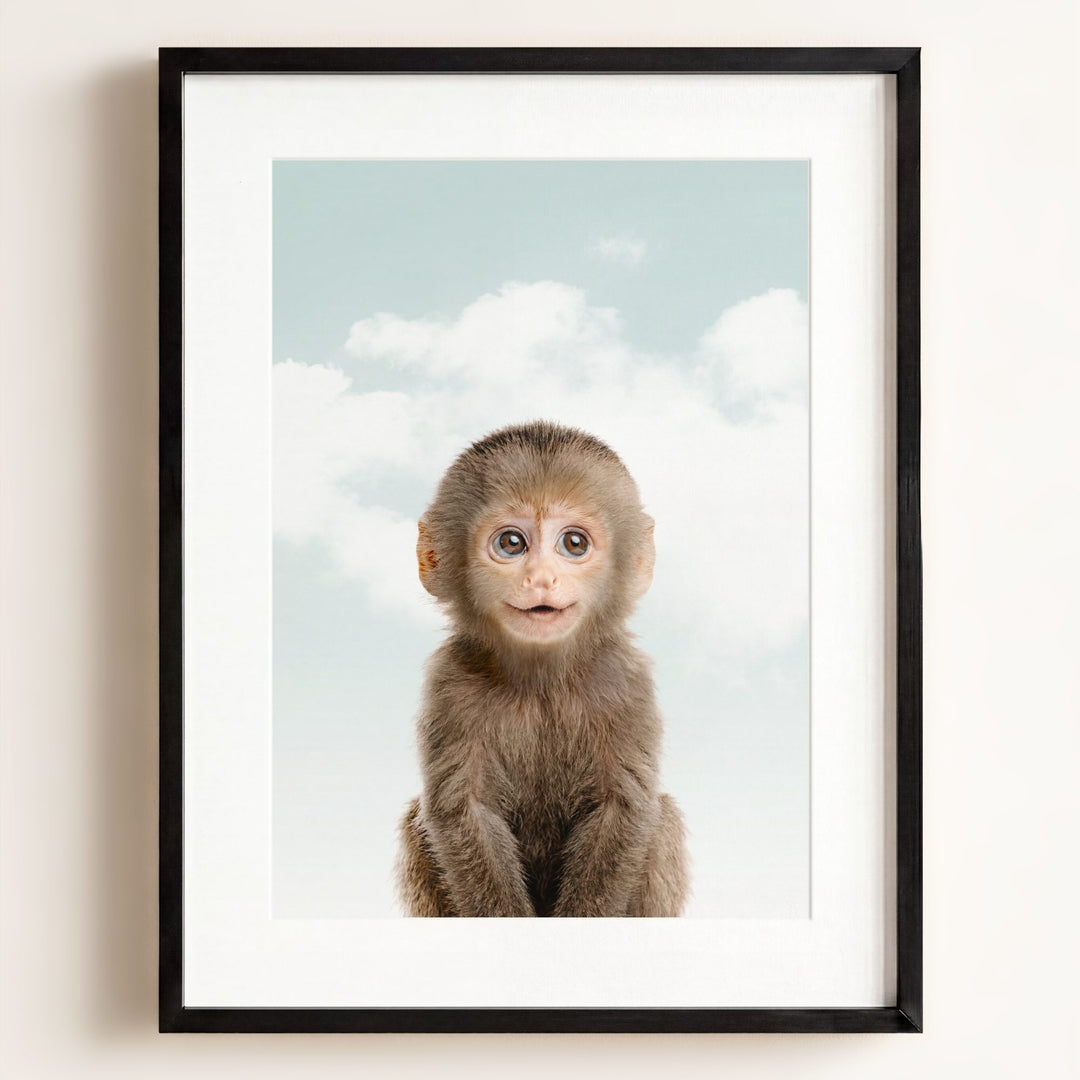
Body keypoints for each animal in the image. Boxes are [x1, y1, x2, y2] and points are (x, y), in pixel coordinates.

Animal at [396, 420, 688, 917]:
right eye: (511, 543)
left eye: (574, 543)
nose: (541, 579)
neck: (541, 681)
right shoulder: (450, 682)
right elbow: (464, 811)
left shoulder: (626, 681)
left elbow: (623, 808)